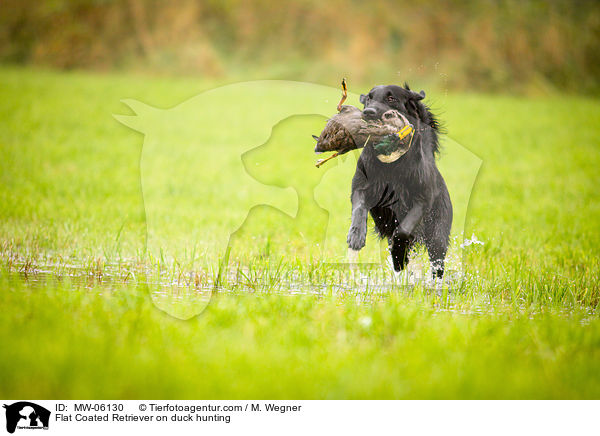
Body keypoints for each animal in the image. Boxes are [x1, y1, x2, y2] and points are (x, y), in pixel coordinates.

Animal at [344, 83, 452, 278]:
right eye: (369, 98)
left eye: (391, 98)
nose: (368, 112)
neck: (392, 165)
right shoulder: (360, 188)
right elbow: (359, 208)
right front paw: (356, 235)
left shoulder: (422, 200)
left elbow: (403, 229)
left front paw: (398, 253)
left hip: (438, 236)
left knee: (437, 266)